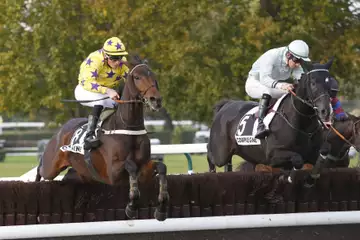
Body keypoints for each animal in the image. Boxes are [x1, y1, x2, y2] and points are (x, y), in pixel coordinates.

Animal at [35, 54, 169, 221]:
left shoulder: (144, 168)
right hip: (51, 166)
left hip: (83, 174)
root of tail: (60, 131)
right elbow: (131, 166)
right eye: (137, 77)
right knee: (40, 170)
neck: (128, 126)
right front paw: (131, 206)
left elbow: (161, 167)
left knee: (68, 177)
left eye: (154, 77)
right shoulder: (113, 173)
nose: (156, 100)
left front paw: (162, 207)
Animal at [207, 59, 334, 197]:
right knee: (210, 153)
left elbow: (324, 152)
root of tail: (226, 105)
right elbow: (298, 159)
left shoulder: (312, 152)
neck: (302, 123)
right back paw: (212, 173)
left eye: (329, 83)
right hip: (221, 153)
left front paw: (311, 178)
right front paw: (288, 178)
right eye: (313, 83)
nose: (325, 111)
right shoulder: (273, 156)